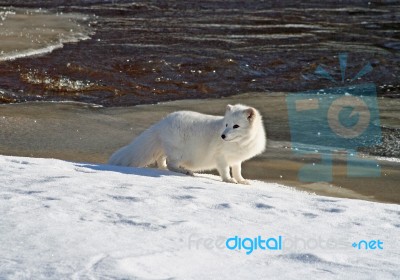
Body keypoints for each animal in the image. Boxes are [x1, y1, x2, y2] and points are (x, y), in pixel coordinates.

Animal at [108, 104, 268, 185]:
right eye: (226, 124)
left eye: (236, 126)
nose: (222, 136)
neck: (240, 143)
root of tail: (162, 122)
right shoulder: (220, 157)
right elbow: (224, 170)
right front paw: (228, 180)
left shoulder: (236, 159)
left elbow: (237, 170)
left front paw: (242, 181)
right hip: (178, 152)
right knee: (170, 163)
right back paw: (184, 171)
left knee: (161, 159)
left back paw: (164, 168)